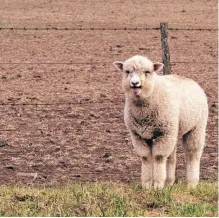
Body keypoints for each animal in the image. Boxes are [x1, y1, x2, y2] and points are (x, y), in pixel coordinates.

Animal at [113, 55, 209, 188]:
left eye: (147, 72)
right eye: (127, 72)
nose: (135, 84)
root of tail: (191, 81)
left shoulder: (163, 132)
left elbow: (158, 157)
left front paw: (158, 185)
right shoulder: (138, 135)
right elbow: (146, 157)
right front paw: (147, 185)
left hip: (196, 127)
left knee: (192, 153)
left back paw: (192, 184)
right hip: (174, 131)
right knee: (171, 157)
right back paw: (169, 182)